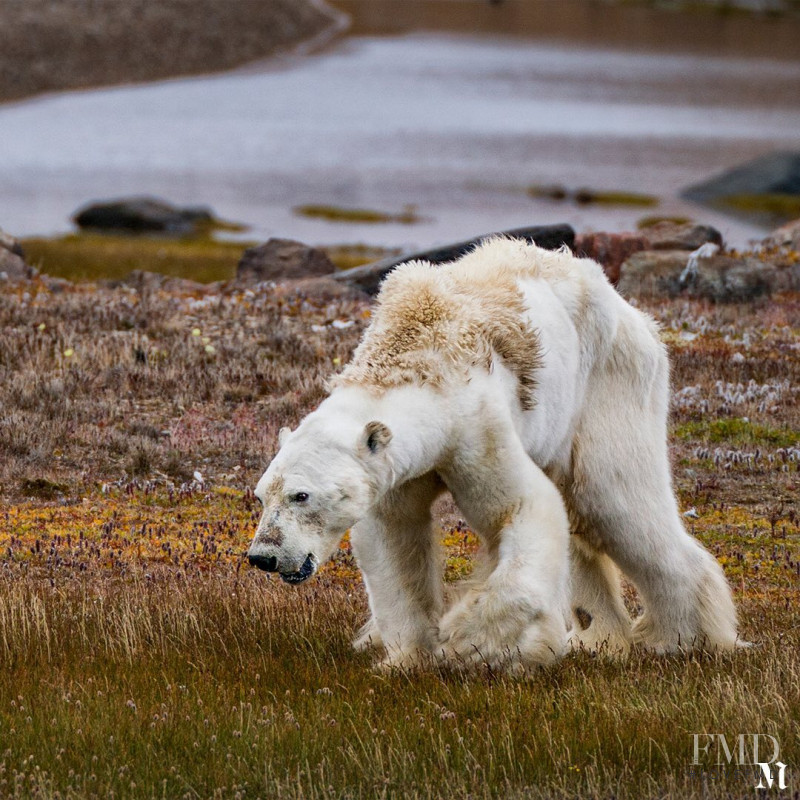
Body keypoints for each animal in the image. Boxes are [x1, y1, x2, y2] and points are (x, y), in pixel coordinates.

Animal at [247, 238, 740, 668]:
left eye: (301, 495)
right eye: (261, 495)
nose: (263, 556)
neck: (416, 355)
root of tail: (635, 314)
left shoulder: (475, 426)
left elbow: (521, 507)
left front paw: (472, 642)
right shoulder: (396, 469)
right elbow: (393, 537)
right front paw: (406, 658)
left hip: (608, 384)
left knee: (615, 500)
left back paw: (682, 638)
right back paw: (598, 636)